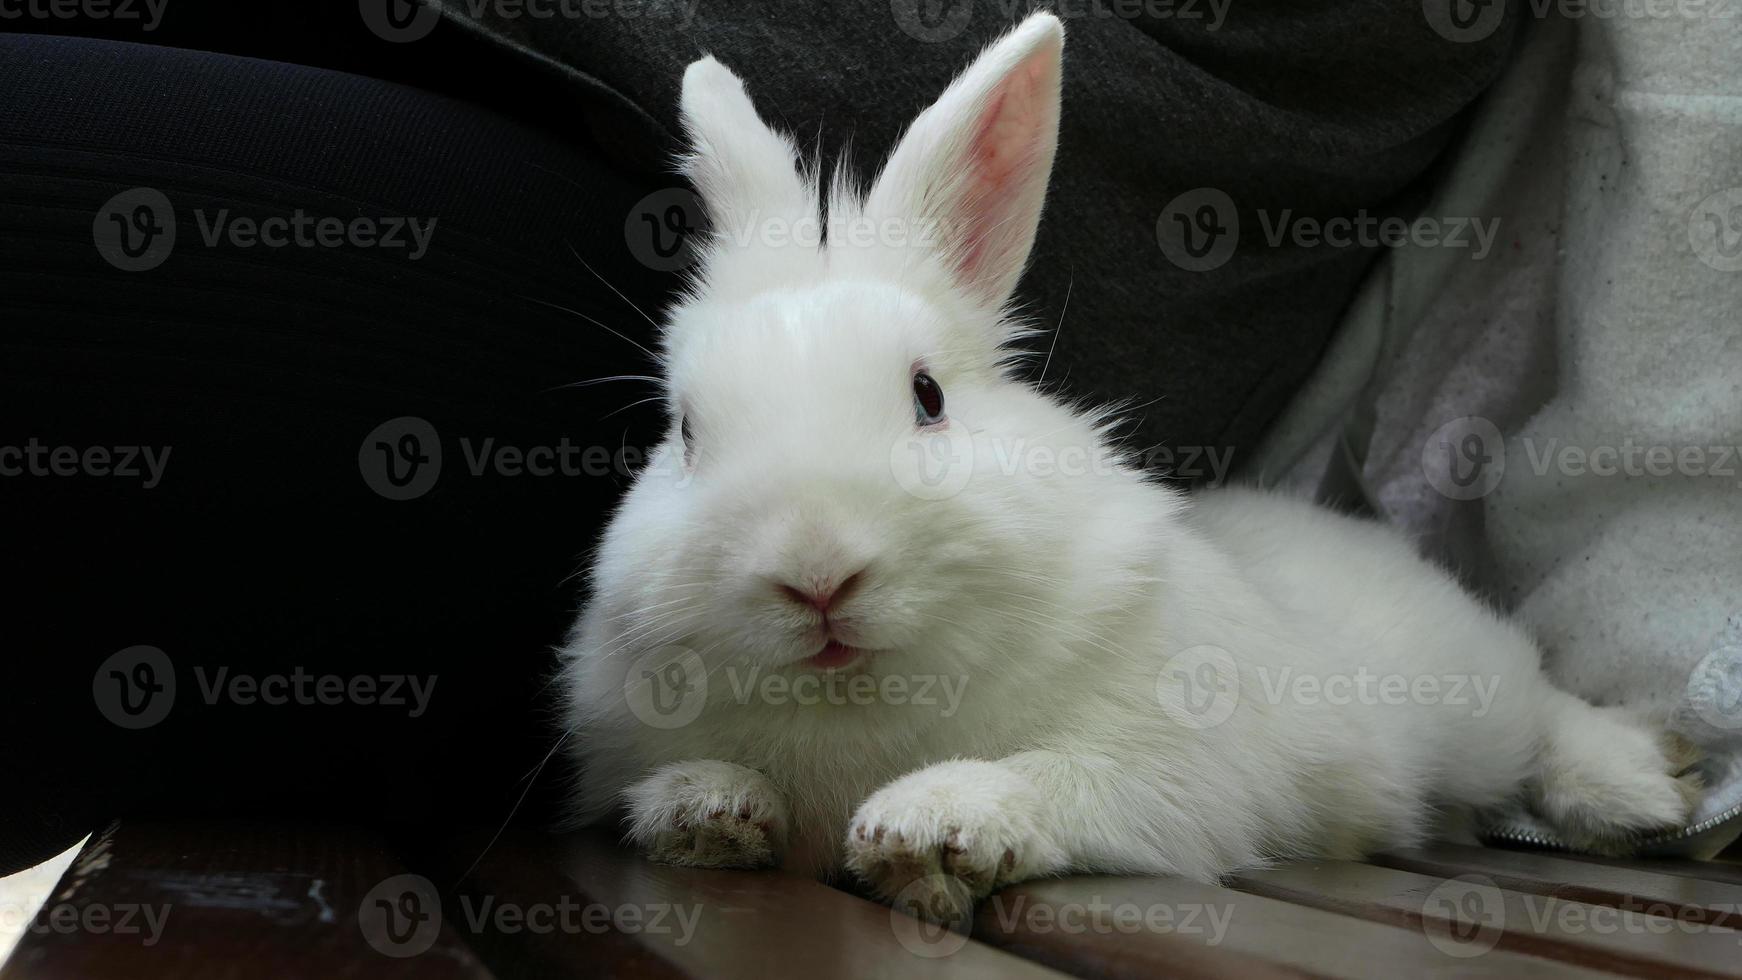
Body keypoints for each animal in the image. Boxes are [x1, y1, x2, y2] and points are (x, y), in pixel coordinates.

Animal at [560, 11, 1700, 926]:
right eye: (686, 432)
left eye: (927, 396)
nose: (815, 575)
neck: (862, 697)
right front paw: (709, 805)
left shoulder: (1178, 769)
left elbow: (1061, 782)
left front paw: (929, 820)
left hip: (1471, 698)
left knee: (1545, 710)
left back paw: (1645, 790)